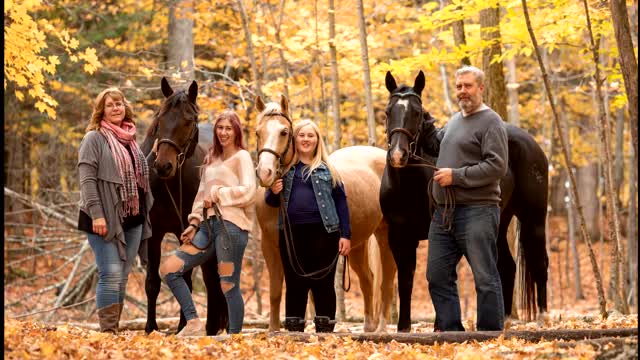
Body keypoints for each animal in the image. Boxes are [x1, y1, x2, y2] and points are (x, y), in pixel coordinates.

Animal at [141, 77, 229, 336]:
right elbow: (152, 282)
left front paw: (183, 326)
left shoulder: (186, 232)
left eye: (189, 121)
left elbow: (186, 279)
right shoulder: (154, 233)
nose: (163, 166)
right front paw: (150, 328)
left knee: (212, 279)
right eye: (160, 118)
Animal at [254, 95, 396, 332]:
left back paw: (382, 329)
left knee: (386, 281)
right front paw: (273, 331)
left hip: (386, 235)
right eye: (257, 132)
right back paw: (368, 327)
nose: (265, 173)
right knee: (367, 279)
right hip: (356, 245)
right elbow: (275, 292)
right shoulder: (269, 246)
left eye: (284, 132)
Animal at [380, 71, 552, 334]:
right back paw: (505, 320)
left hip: (534, 218)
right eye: (388, 112)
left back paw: (542, 317)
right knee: (507, 266)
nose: (399, 155)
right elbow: (407, 279)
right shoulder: (399, 236)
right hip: (499, 223)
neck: (408, 185)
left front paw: (440, 327)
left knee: (539, 262)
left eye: (417, 113)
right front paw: (403, 328)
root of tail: (531, 144)